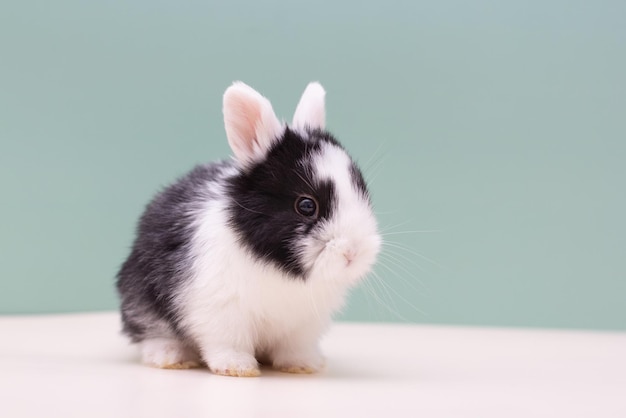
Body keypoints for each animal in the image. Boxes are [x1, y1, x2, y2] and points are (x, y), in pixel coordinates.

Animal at [117, 81, 380, 376]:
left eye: (361, 189)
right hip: (142, 303)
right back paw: (172, 357)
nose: (354, 253)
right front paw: (237, 367)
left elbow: (294, 347)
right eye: (306, 206)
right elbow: (228, 343)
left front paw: (303, 365)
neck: (277, 266)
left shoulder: (302, 325)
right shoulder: (221, 311)